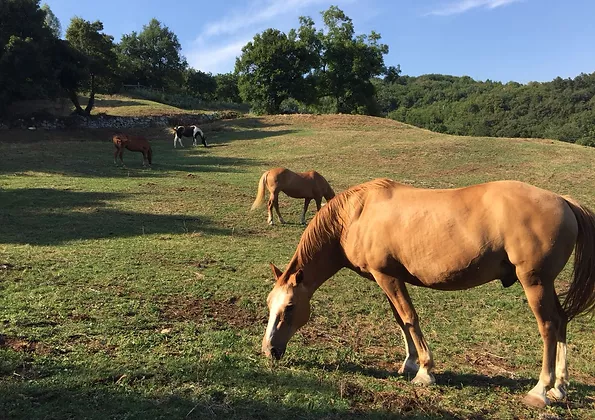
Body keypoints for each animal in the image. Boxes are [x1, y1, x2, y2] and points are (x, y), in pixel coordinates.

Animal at [264, 179, 595, 408]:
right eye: (270, 305)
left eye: (290, 307)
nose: (269, 350)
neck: (356, 215)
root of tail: (563, 201)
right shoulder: (387, 279)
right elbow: (401, 320)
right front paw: (409, 363)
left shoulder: (387, 277)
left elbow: (410, 318)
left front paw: (424, 371)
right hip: (545, 285)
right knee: (561, 321)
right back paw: (560, 387)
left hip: (535, 283)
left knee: (548, 327)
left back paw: (541, 390)